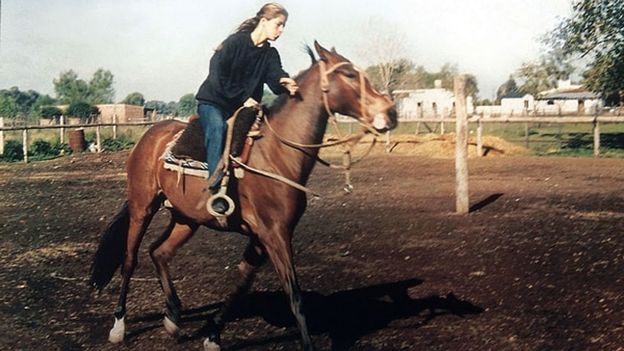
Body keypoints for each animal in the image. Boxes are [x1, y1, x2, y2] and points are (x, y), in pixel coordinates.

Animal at [89, 42, 394, 351]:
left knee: (159, 252)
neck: (275, 154)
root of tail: (150, 136)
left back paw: (173, 317)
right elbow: (294, 296)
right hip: (142, 207)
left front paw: (213, 334)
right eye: (349, 74)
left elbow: (241, 283)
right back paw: (119, 326)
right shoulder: (275, 234)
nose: (390, 113)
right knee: (130, 259)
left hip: (186, 218)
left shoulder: (261, 237)